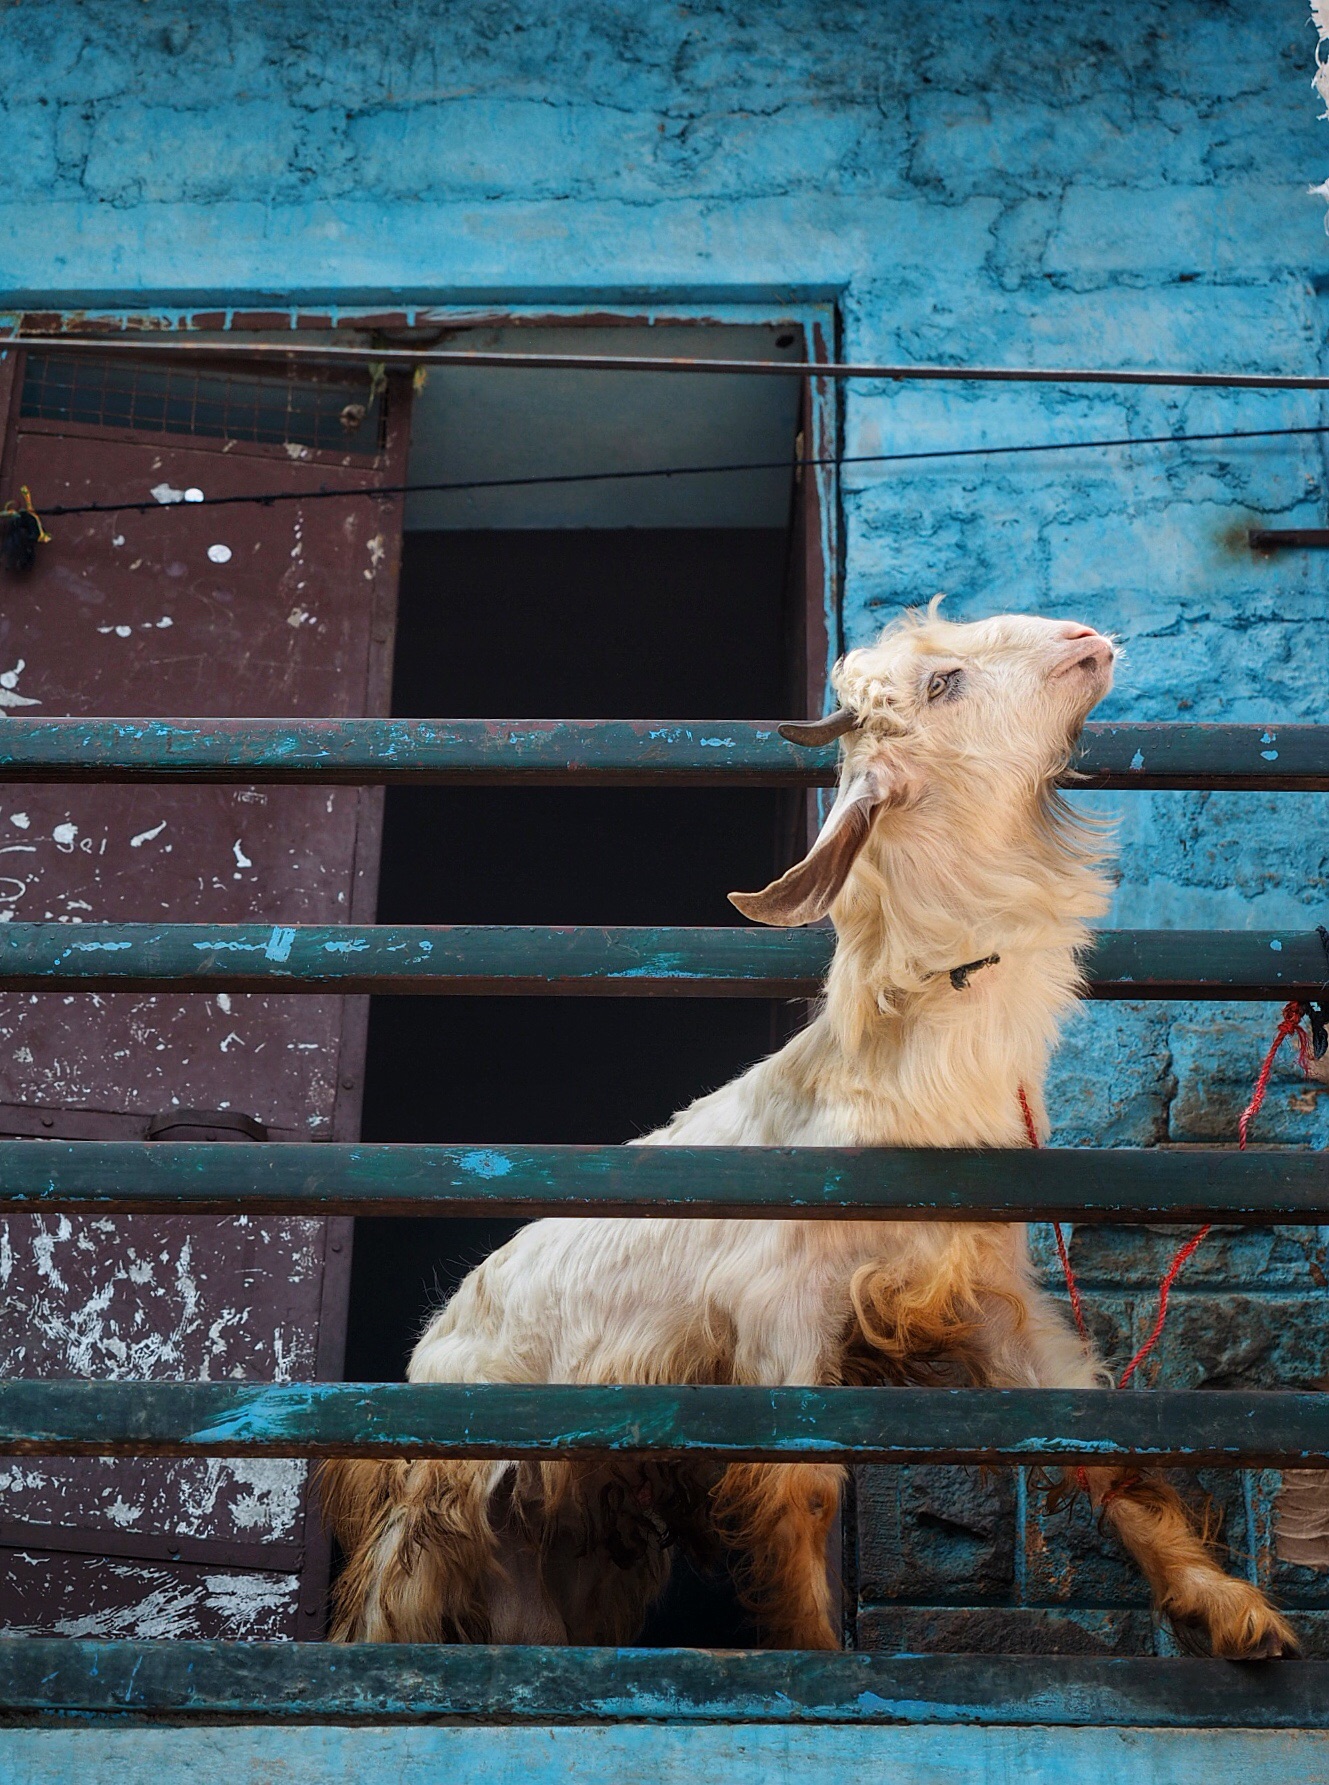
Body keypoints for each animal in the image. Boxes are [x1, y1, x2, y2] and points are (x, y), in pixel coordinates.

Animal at [324, 610, 1298, 1656]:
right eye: (945, 683)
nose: (1086, 635)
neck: (893, 1083)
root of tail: (429, 1346)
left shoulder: (987, 1294)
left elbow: (1101, 1443)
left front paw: (1233, 1609)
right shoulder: (777, 1317)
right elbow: (796, 1498)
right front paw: (818, 1655)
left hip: (553, 1561)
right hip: (437, 1516)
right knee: (389, 1611)